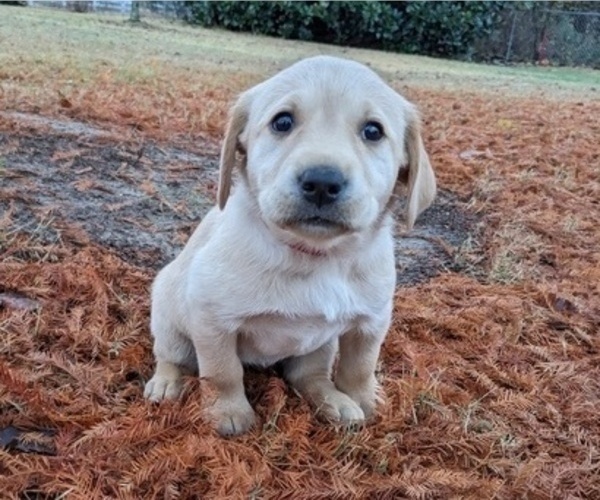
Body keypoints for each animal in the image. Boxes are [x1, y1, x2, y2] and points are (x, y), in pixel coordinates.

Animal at [145, 56, 436, 436]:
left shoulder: (373, 320)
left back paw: (334, 401)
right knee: (171, 356)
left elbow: (360, 366)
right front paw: (227, 412)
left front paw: (365, 400)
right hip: (168, 316)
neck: (318, 256)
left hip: (319, 346)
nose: (322, 182)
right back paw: (166, 383)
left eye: (373, 131)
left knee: (309, 376)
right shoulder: (211, 317)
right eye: (282, 122)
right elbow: (222, 371)